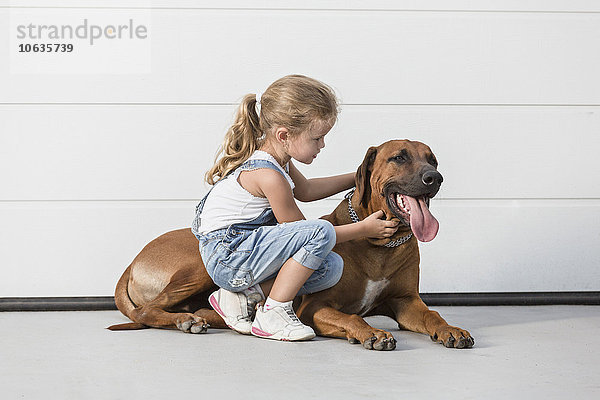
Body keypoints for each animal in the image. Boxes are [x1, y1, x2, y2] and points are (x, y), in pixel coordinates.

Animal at [108, 140, 474, 350]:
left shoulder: (405, 301)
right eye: (398, 157)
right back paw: (188, 320)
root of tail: (131, 262)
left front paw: (451, 329)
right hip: (199, 265)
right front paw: (371, 332)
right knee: (145, 311)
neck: (379, 247)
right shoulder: (314, 307)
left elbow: (433, 314)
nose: (434, 178)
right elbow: (351, 318)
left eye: (433, 160)